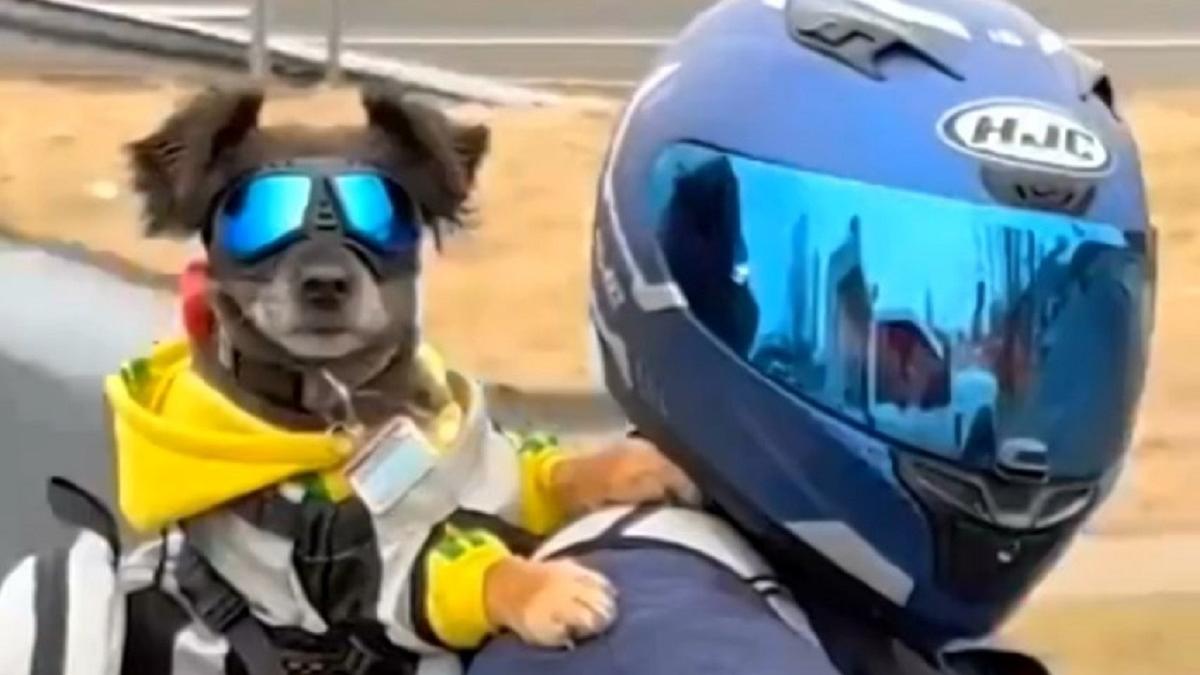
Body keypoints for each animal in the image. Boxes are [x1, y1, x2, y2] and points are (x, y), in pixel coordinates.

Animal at [112, 82, 700, 662]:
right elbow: (475, 572)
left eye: (385, 213)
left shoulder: (498, 479)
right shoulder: (356, 576)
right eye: (253, 218)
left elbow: (558, 473)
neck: (353, 401)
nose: (325, 283)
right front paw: (544, 589)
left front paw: (638, 463)